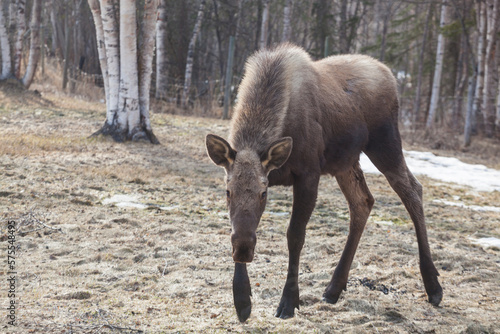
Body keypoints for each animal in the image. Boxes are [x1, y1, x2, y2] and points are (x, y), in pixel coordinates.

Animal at [205, 43, 444, 320]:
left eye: (263, 193)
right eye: (228, 191)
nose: (243, 250)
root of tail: (390, 76)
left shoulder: (309, 173)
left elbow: (295, 236)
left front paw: (289, 301)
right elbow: (242, 225)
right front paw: (242, 300)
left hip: (385, 144)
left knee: (413, 191)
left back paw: (433, 286)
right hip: (346, 162)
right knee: (363, 201)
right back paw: (334, 288)